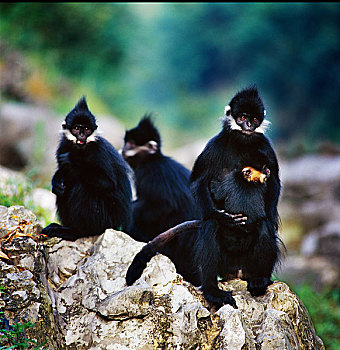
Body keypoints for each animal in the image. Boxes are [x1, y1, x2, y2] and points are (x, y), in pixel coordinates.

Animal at [41, 98, 133, 241]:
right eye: (76, 128)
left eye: (87, 129)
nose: (82, 136)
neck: (81, 150)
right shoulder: (63, 146)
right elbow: (62, 177)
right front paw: (56, 180)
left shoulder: (99, 151)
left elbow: (108, 184)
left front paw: (72, 163)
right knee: (64, 190)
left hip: (105, 221)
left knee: (81, 187)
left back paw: (76, 232)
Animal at [126, 85, 282, 308]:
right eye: (242, 117)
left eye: (253, 119)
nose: (248, 126)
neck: (242, 142)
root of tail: (236, 272)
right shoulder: (214, 145)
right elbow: (199, 182)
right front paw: (221, 216)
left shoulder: (265, 146)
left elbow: (274, 183)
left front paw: (269, 216)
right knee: (210, 226)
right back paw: (212, 291)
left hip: (247, 263)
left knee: (263, 226)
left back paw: (259, 279)